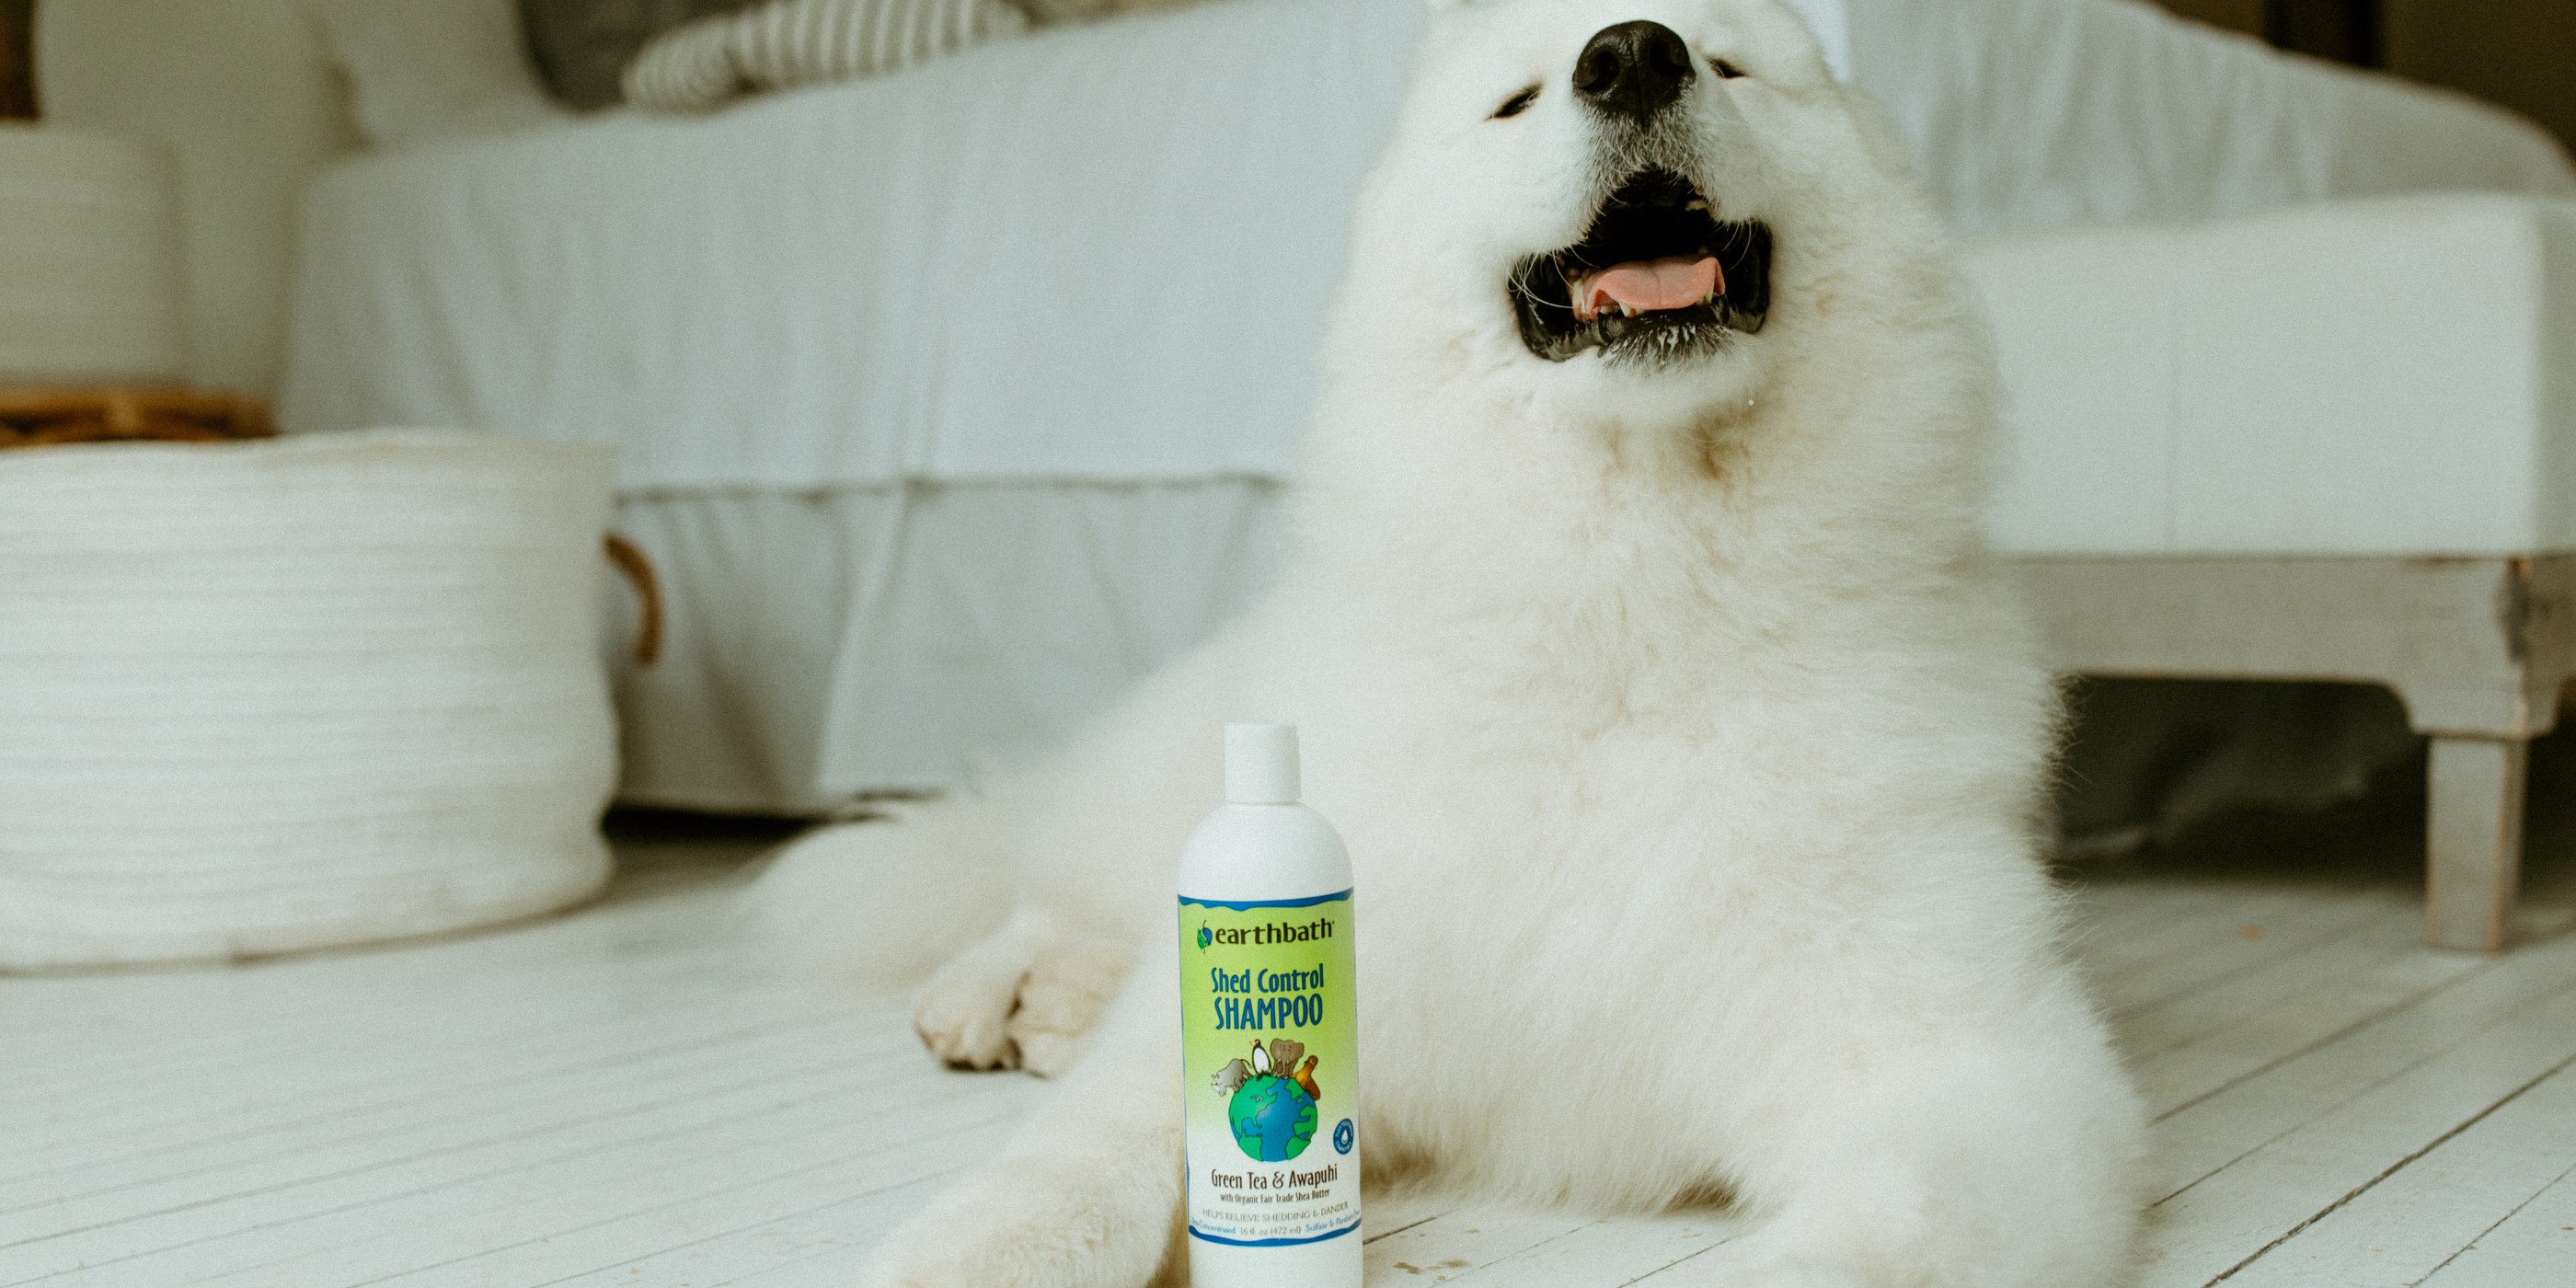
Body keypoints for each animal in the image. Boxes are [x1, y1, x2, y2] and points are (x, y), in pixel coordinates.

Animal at [752, 0, 2143, 1282]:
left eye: (1731, 64)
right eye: (1515, 102)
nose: (1633, 53)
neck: (1625, 615)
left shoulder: (1969, 1069)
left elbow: (1857, 1243)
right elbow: (1067, 1167)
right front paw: (974, 1246)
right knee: (1042, 871)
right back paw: (994, 991)